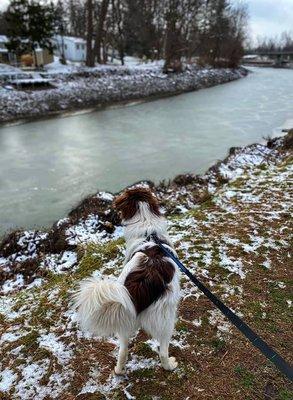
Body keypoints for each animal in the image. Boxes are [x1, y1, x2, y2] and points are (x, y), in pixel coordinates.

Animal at [72, 188, 179, 376]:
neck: (148, 230)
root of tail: (144, 280)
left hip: (124, 316)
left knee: (123, 351)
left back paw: (119, 371)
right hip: (166, 321)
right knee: (163, 352)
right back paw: (170, 365)